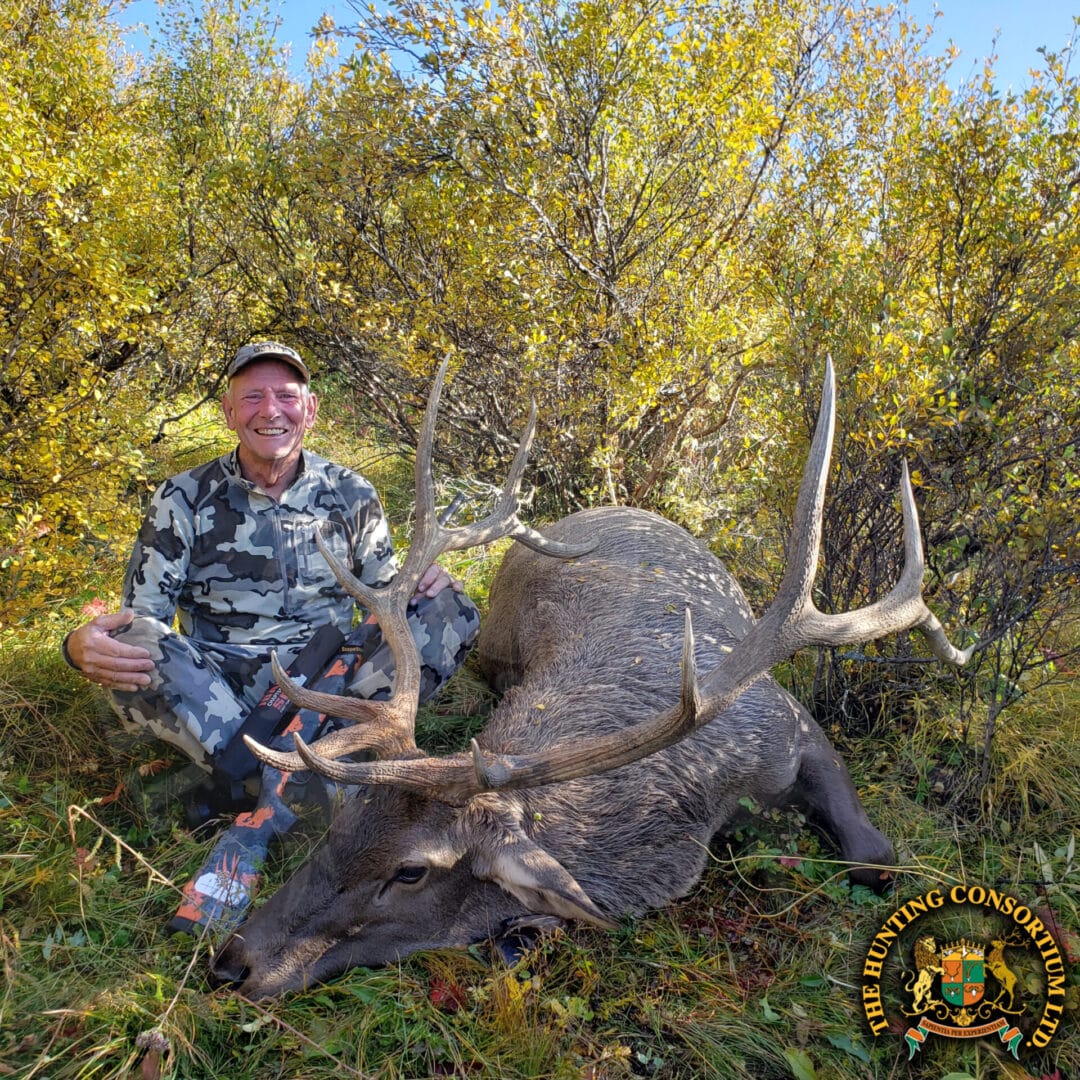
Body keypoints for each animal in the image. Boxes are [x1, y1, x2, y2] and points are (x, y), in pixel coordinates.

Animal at [209, 357, 972, 999]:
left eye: (410, 870)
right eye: (341, 820)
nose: (233, 960)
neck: (698, 799)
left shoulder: (792, 724)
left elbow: (877, 856)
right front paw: (525, 928)